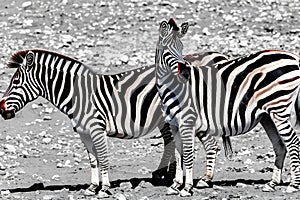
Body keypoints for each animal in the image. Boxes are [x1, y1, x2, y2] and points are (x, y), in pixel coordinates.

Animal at [0, 48, 227, 197]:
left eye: (16, 82)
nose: (1, 110)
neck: (79, 94)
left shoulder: (96, 128)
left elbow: (103, 158)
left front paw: (104, 188)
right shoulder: (83, 132)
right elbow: (93, 160)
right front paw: (92, 187)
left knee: (210, 144)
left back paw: (205, 179)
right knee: (175, 142)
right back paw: (169, 176)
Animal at [155, 18, 300, 196]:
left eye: (181, 47)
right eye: (167, 49)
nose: (185, 71)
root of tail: (293, 57)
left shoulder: (187, 121)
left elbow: (188, 154)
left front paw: (187, 187)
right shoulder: (174, 124)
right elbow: (178, 153)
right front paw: (176, 185)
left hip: (278, 108)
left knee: (293, 142)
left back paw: (293, 185)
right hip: (267, 115)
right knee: (280, 145)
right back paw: (272, 183)